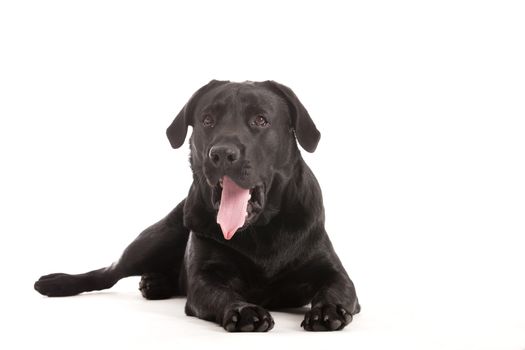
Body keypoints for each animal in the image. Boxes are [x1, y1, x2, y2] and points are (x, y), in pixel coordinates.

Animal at [33, 80, 360, 332]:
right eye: (207, 120)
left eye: (260, 120)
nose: (222, 153)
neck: (261, 233)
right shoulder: (205, 278)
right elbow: (219, 294)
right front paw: (242, 310)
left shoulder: (332, 270)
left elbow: (337, 287)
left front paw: (328, 310)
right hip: (154, 238)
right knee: (108, 272)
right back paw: (59, 282)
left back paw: (155, 283)